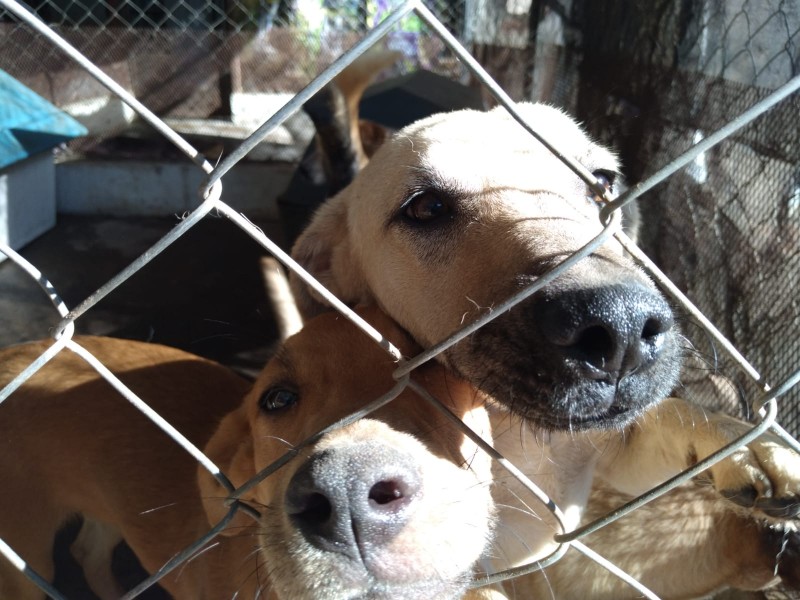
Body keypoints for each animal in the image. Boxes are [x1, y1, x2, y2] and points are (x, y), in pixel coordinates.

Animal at [290, 101, 800, 596]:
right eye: (426, 208)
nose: (622, 327)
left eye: (602, 182)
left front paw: (749, 446)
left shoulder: (607, 455)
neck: (520, 441)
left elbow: (668, 414)